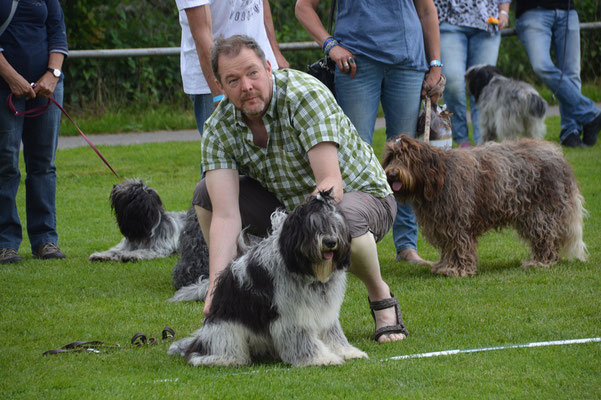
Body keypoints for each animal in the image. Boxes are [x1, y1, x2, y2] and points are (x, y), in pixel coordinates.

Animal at [166, 189, 368, 368]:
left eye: (336, 226)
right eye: (313, 226)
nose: (331, 242)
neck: (306, 270)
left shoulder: (325, 311)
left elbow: (332, 332)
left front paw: (346, 351)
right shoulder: (294, 314)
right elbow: (303, 338)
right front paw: (319, 358)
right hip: (225, 329)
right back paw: (222, 358)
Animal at [380, 136, 584, 276]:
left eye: (406, 158)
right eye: (390, 157)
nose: (392, 174)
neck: (440, 177)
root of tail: (557, 155)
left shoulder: (456, 222)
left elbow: (458, 245)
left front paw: (458, 269)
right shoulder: (442, 224)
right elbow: (448, 247)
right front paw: (445, 266)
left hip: (539, 213)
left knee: (546, 237)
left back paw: (542, 262)